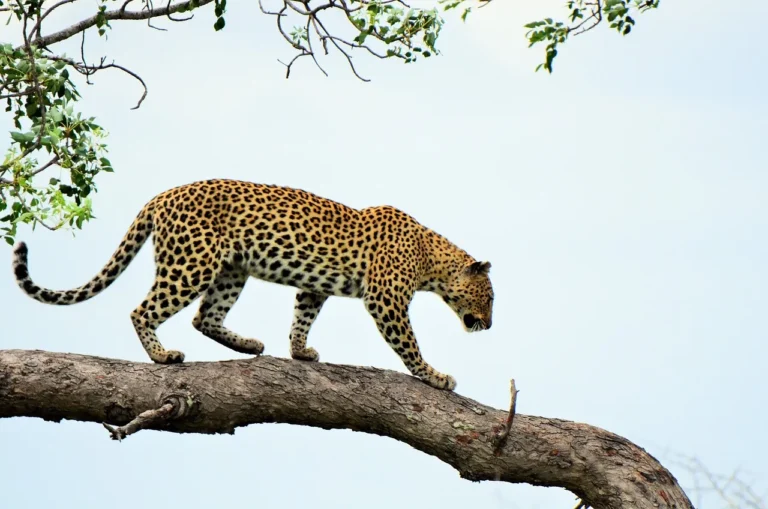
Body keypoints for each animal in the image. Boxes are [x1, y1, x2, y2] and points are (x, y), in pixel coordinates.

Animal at [12, 179, 496, 388]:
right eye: (489, 297)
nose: (490, 325)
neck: (431, 259)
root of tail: (161, 195)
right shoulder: (386, 299)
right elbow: (409, 344)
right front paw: (434, 376)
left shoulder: (315, 286)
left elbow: (303, 314)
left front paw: (300, 352)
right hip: (191, 264)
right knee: (143, 310)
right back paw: (163, 356)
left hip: (231, 270)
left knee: (205, 317)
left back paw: (247, 345)